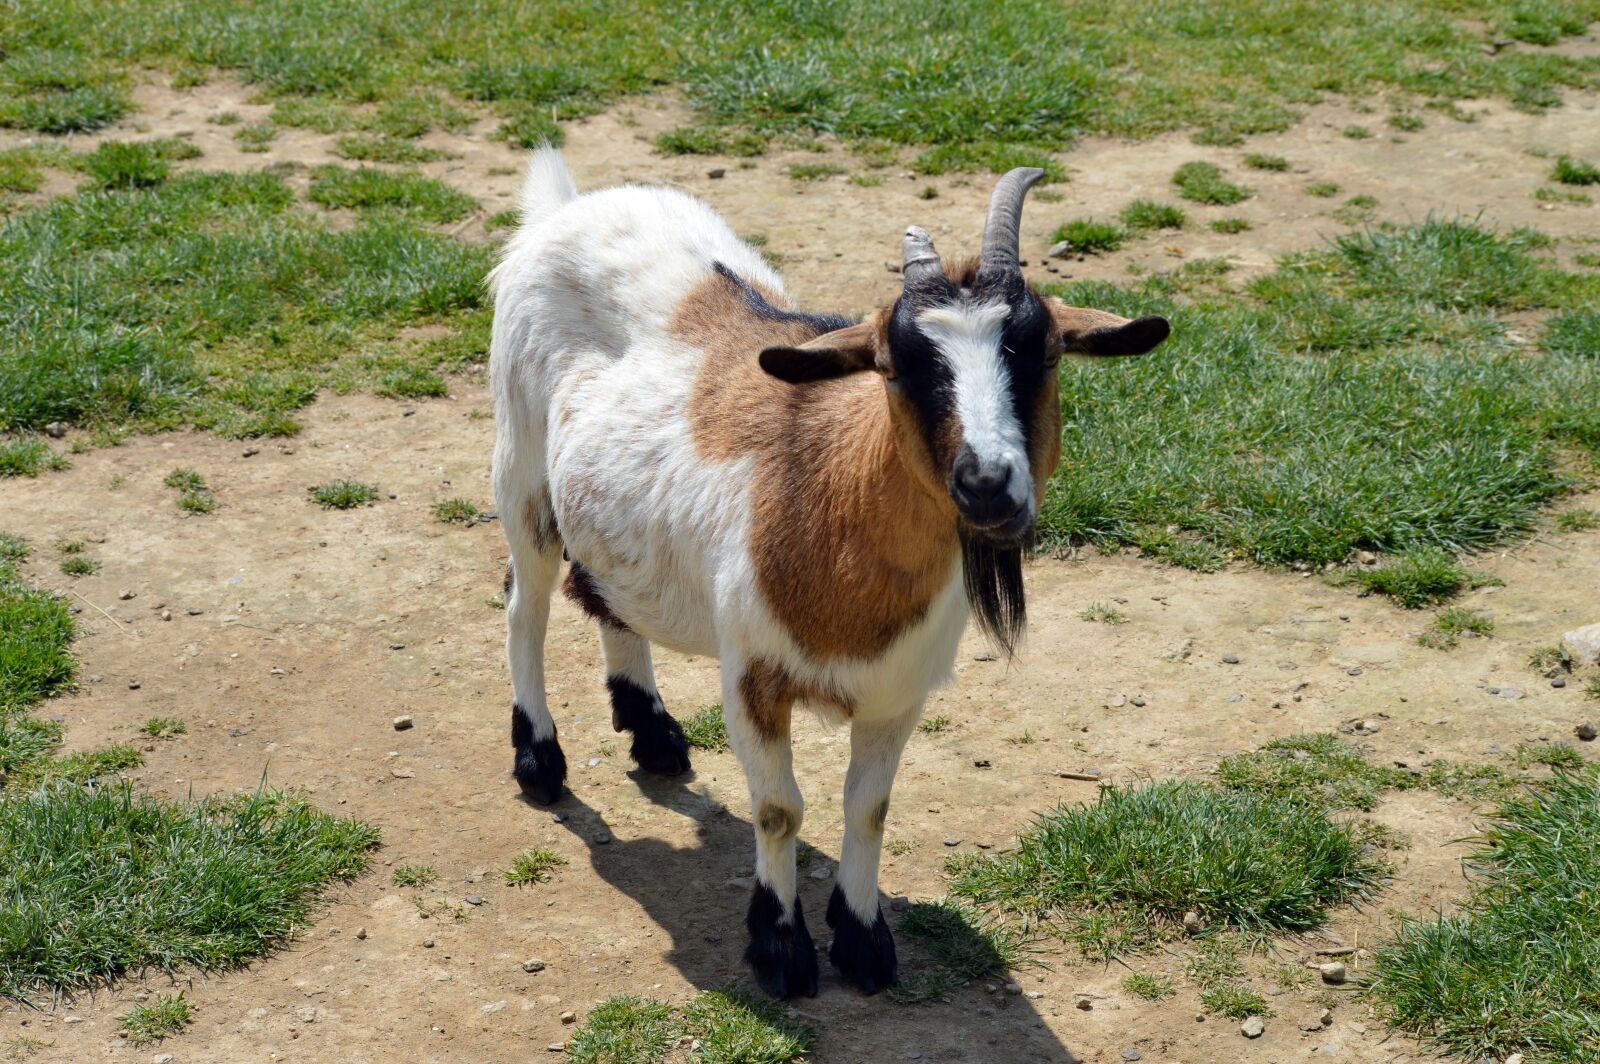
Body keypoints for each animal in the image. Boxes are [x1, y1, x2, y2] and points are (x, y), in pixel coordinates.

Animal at [488, 148, 1169, 998]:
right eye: (895, 363)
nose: (986, 482)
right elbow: (780, 809)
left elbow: (868, 808)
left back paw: (653, 732)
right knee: (526, 609)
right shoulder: (752, 678)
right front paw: (781, 950)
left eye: (1041, 352)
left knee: (609, 594)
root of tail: (568, 207)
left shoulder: (899, 690)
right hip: (522, 471)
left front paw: (864, 940)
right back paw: (539, 758)